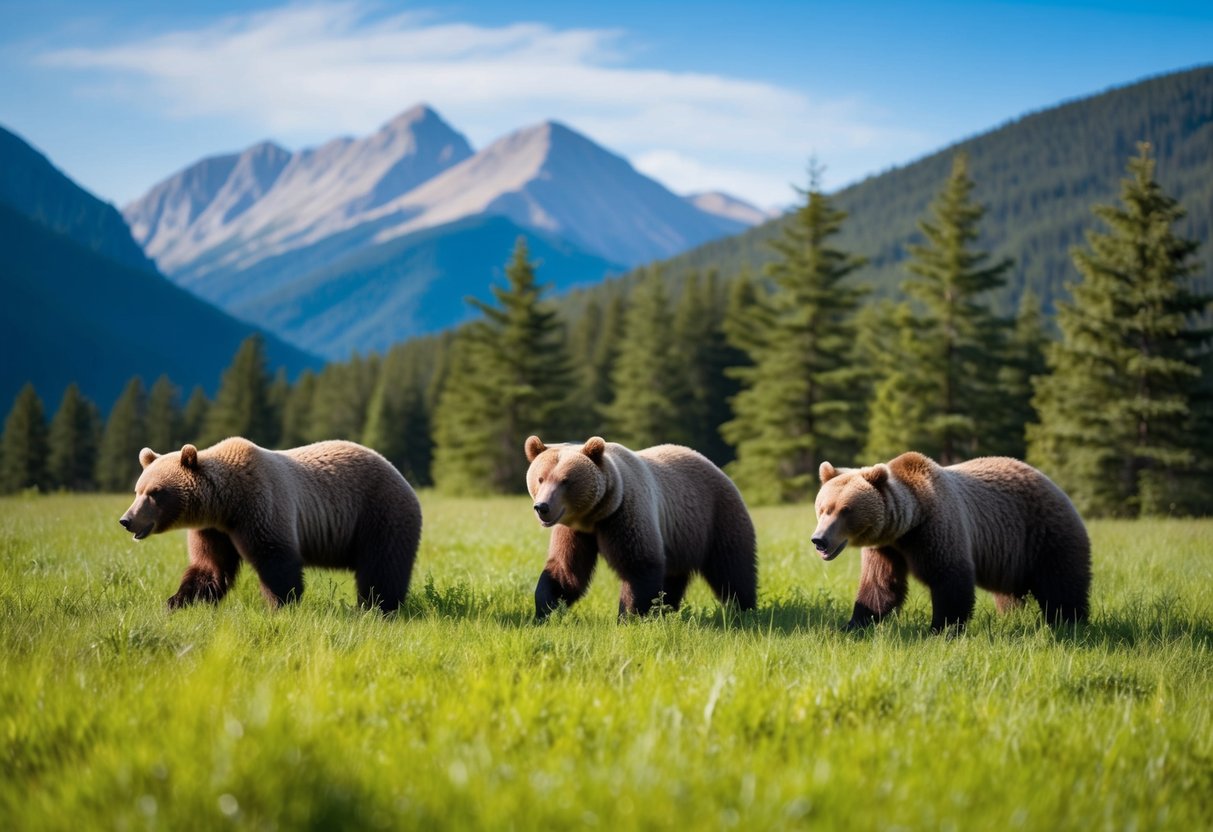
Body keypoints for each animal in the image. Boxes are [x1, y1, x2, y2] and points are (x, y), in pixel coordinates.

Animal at [118, 437, 422, 613]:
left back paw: (377, 606)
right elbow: (209, 567)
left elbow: (275, 558)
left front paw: (281, 604)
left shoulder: (261, 505)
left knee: (382, 566)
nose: (126, 520)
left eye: (155, 492)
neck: (225, 504)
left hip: (378, 514)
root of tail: (402, 477)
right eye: (137, 490)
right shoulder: (213, 530)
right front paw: (178, 601)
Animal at [524, 435, 757, 619]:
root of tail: (716, 466)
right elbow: (566, 569)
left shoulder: (624, 514)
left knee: (733, 568)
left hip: (716, 517)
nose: (542, 507)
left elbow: (639, 565)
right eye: (540, 478)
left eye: (565, 481)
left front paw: (629, 616)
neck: (593, 516)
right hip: (680, 538)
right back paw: (667, 610)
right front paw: (545, 608)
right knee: (674, 577)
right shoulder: (575, 531)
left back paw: (744, 609)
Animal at [810, 451, 1091, 633]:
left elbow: (949, 578)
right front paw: (851, 625)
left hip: (1044, 534)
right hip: (1011, 557)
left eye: (845, 510)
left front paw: (941, 629)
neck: (908, 524)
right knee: (1010, 594)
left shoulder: (936, 529)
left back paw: (1070, 622)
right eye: (822, 508)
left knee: (1062, 582)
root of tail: (1052, 483)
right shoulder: (886, 548)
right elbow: (880, 585)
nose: (819, 540)